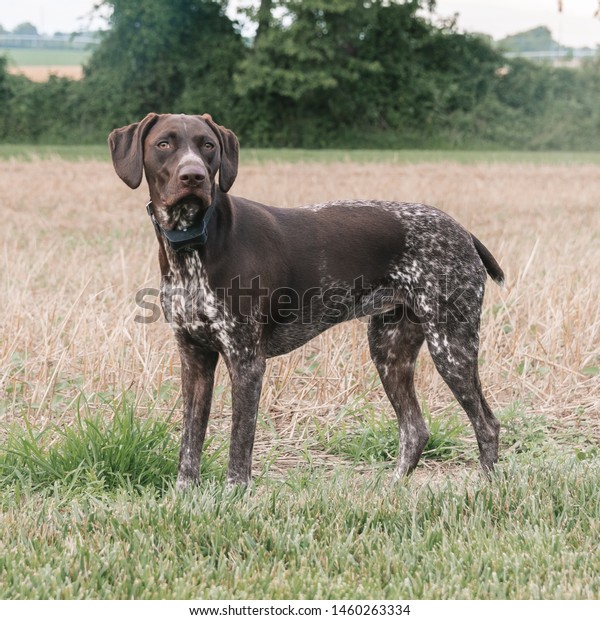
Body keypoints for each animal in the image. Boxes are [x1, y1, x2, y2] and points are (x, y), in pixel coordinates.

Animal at [110, 114, 504, 486]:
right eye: (164, 144)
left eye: (207, 145)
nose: (193, 176)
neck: (194, 244)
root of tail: (462, 231)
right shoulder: (194, 356)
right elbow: (189, 446)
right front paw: (185, 497)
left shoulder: (246, 360)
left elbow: (240, 448)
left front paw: (234, 497)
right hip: (390, 349)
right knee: (414, 429)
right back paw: (391, 490)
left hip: (450, 344)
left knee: (486, 424)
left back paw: (486, 487)